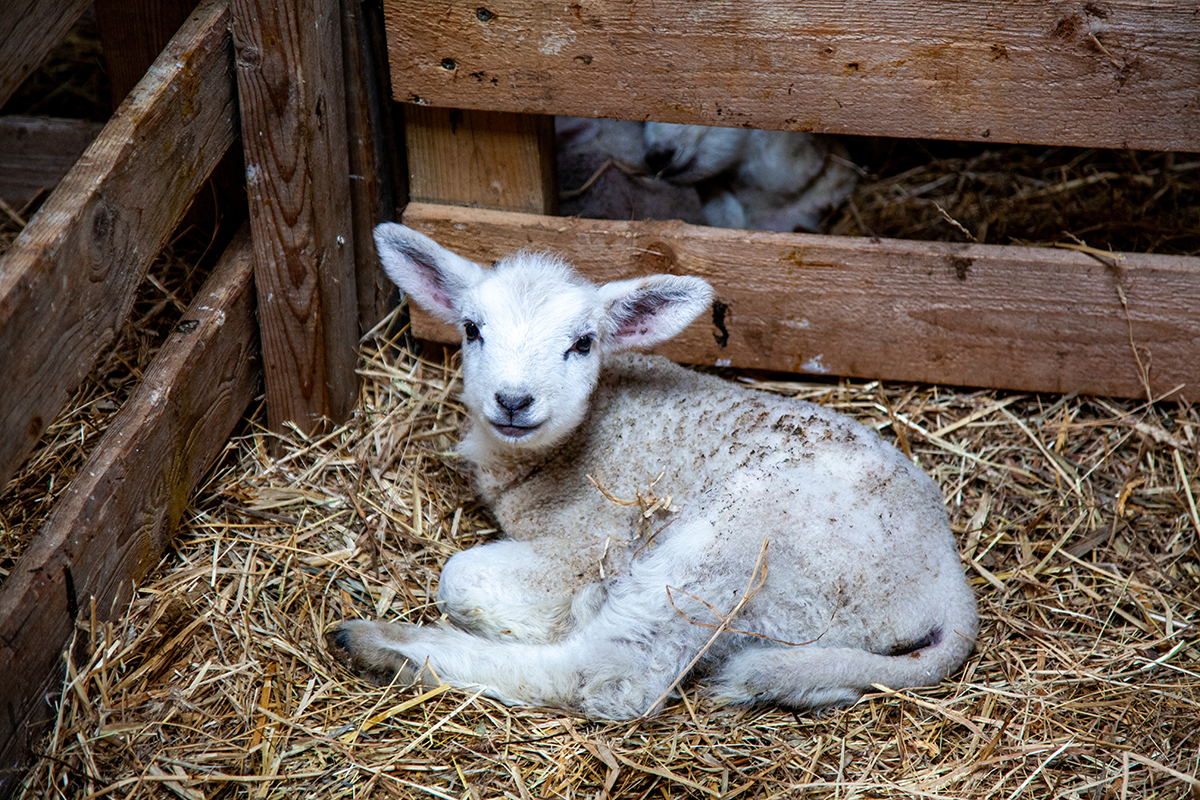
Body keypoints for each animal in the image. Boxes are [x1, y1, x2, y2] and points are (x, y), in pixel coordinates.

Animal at [326, 224, 974, 719]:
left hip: (739, 542)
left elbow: (458, 578)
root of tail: (949, 589)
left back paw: (382, 645)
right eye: (471, 329)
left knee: (609, 675)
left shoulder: (583, 543)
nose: (513, 401)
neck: (574, 442)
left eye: (584, 343)